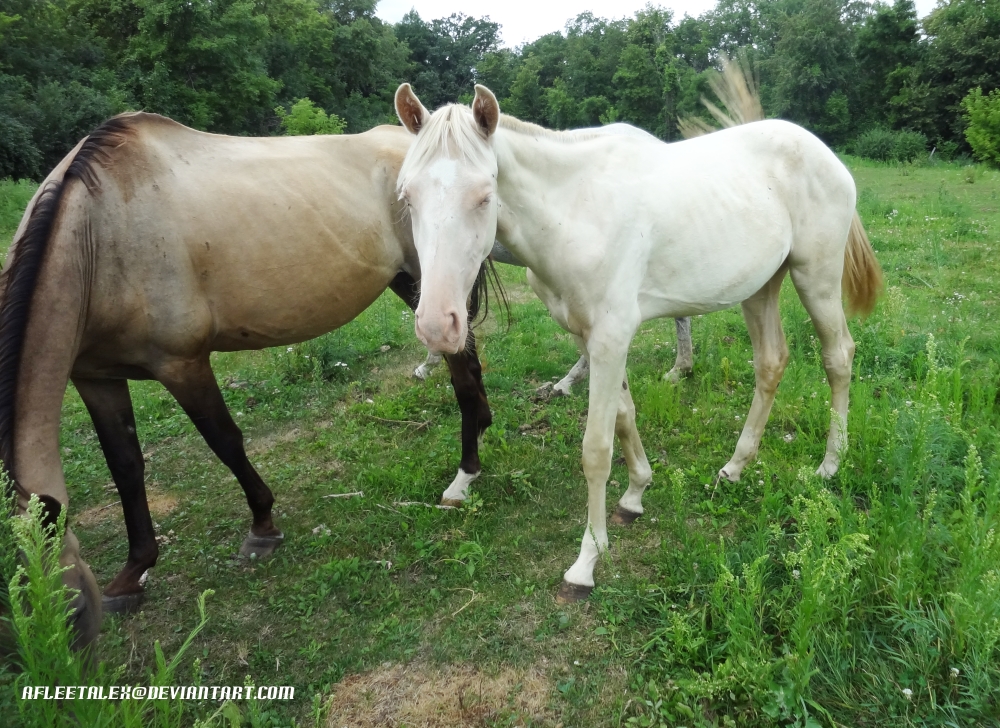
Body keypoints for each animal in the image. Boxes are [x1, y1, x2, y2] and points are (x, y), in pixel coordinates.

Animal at [1, 114, 494, 648]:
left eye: (67, 612)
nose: (73, 657)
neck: (99, 234)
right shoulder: (96, 376)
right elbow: (126, 467)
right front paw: (133, 574)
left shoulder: (182, 364)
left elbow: (225, 441)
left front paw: (262, 526)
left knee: (462, 369)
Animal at [392, 84, 884, 596]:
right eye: (407, 197)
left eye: (485, 196)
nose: (436, 326)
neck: (575, 212)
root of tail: (823, 152)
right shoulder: (590, 338)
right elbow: (625, 416)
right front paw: (635, 494)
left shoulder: (611, 338)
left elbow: (596, 448)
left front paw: (587, 559)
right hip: (761, 287)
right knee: (771, 362)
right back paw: (734, 467)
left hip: (816, 278)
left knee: (838, 357)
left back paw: (830, 464)